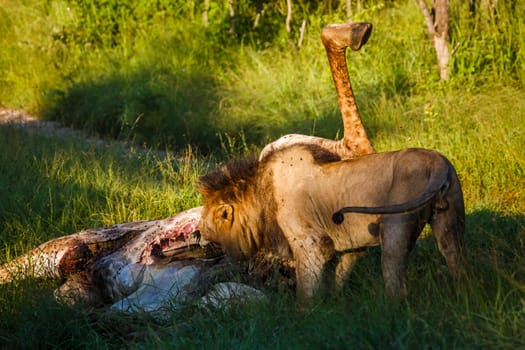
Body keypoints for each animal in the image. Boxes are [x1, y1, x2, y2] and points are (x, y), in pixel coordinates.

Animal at [199, 144, 464, 304]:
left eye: (206, 220)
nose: (199, 232)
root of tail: (435, 161)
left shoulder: (310, 244)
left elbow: (306, 288)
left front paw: (303, 319)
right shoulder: (348, 246)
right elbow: (337, 276)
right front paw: (334, 306)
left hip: (395, 225)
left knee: (394, 271)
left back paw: (392, 310)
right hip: (451, 216)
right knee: (455, 256)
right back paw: (464, 292)